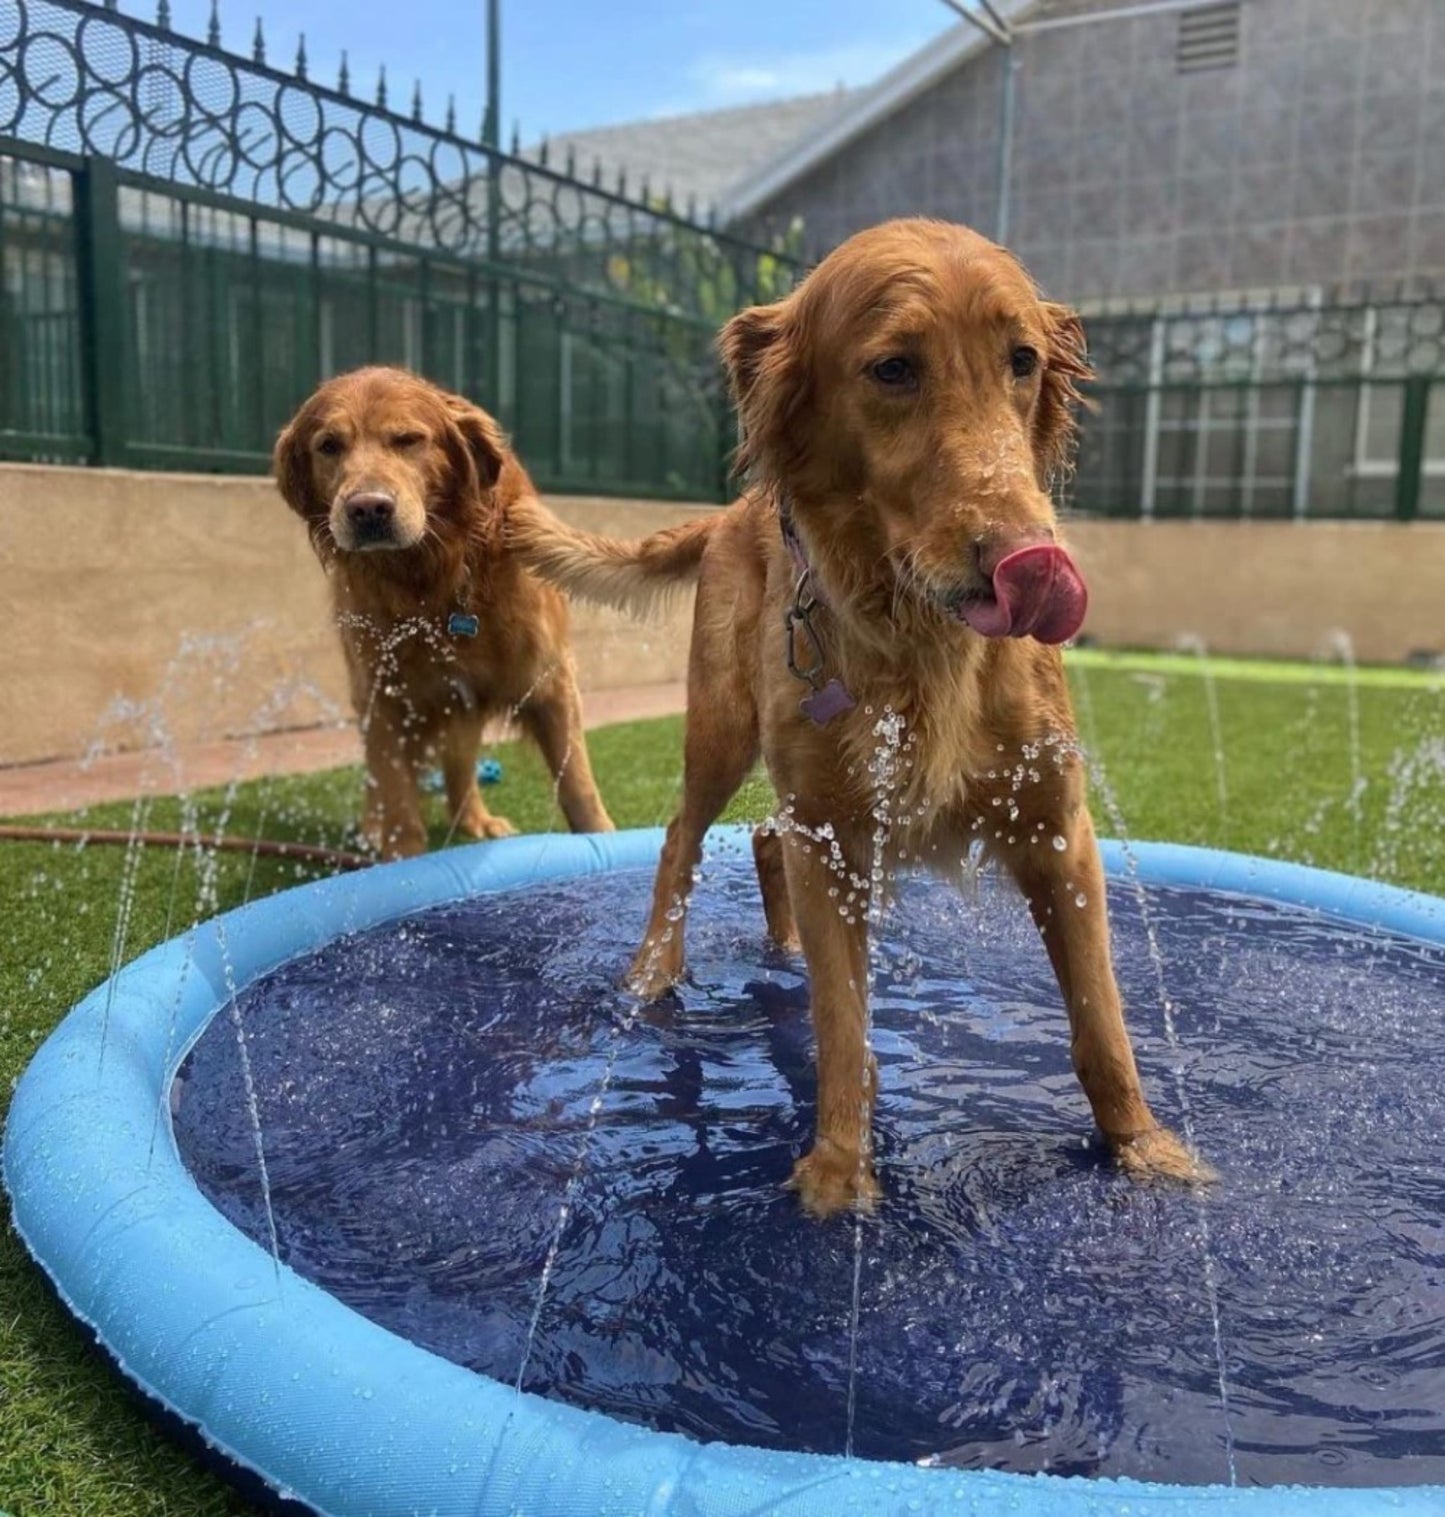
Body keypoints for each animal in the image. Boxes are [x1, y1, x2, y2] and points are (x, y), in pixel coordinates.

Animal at [272, 367, 612, 861]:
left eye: (409, 439)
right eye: (329, 445)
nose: (367, 509)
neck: (434, 576)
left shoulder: (549, 680)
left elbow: (578, 783)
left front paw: (607, 841)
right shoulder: (384, 696)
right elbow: (397, 797)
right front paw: (401, 862)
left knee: (462, 764)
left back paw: (475, 820)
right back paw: (373, 827)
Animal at [512, 213, 1213, 1213]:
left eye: (1022, 360)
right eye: (892, 368)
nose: (1030, 558)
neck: (920, 635)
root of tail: (728, 511)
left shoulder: (1055, 826)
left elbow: (1101, 1021)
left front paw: (1145, 1148)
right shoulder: (836, 836)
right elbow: (842, 1025)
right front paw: (839, 1176)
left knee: (766, 840)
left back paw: (779, 947)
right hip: (722, 729)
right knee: (682, 836)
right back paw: (653, 971)